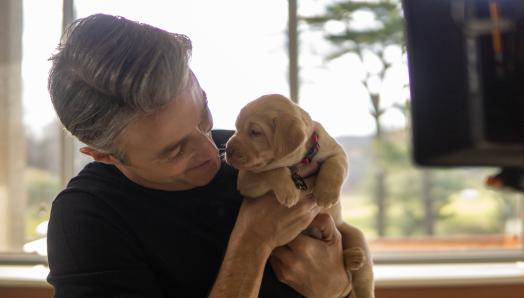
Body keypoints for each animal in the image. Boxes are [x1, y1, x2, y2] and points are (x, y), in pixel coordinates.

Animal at [224, 93, 372, 298]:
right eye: (236, 128)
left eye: (254, 132)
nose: (227, 150)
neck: (301, 160)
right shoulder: (247, 179)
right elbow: (273, 171)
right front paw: (289, 192)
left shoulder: (337, 151)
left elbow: (334, 166)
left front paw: (326, 194)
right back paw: (352, 258)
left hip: (355, 235)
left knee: (363, 280)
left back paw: (354, 258)